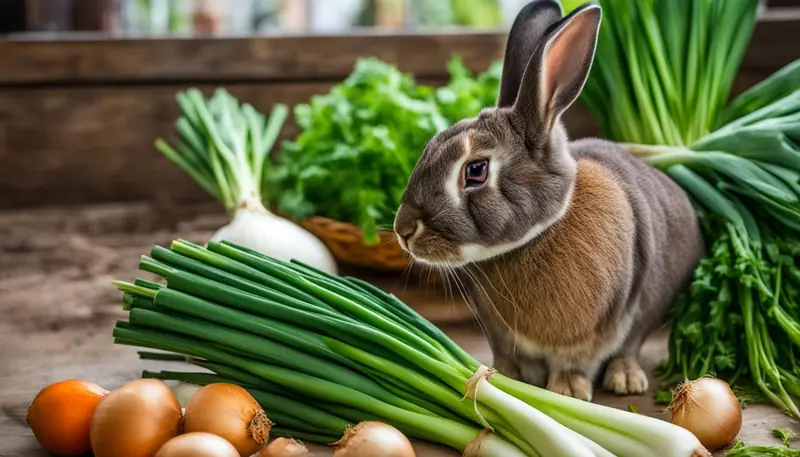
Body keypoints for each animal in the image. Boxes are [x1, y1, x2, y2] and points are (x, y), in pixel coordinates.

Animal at [393, 0, 703, 402]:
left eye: (475, 170)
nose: (402, 229)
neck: (538, 234)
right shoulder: (500, 330)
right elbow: (509, 355)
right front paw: (509, 378)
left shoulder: (598, 328)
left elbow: (579, 359)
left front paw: (569, 391)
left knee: (631, 344)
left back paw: (625, 380)